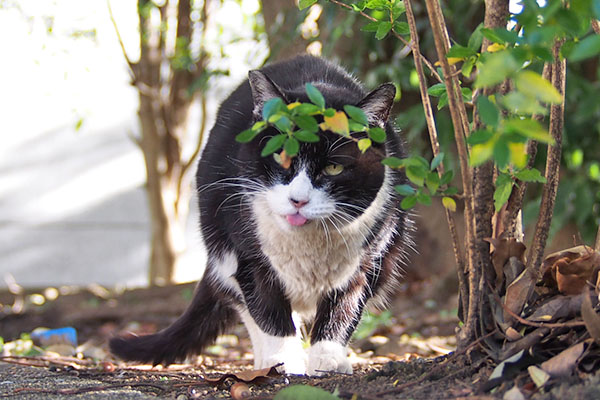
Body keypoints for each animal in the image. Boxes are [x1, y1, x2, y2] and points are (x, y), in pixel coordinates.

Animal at [110, 54, 412, 376]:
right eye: (281, 155)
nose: (298, 200)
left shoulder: (368, 260)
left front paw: (328, 360)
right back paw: (264, 361)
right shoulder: (247, 256)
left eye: (334, 167)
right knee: (244, 304)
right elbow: (268, 312)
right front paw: (283, 361)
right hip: (220, 242)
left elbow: (344, 308)